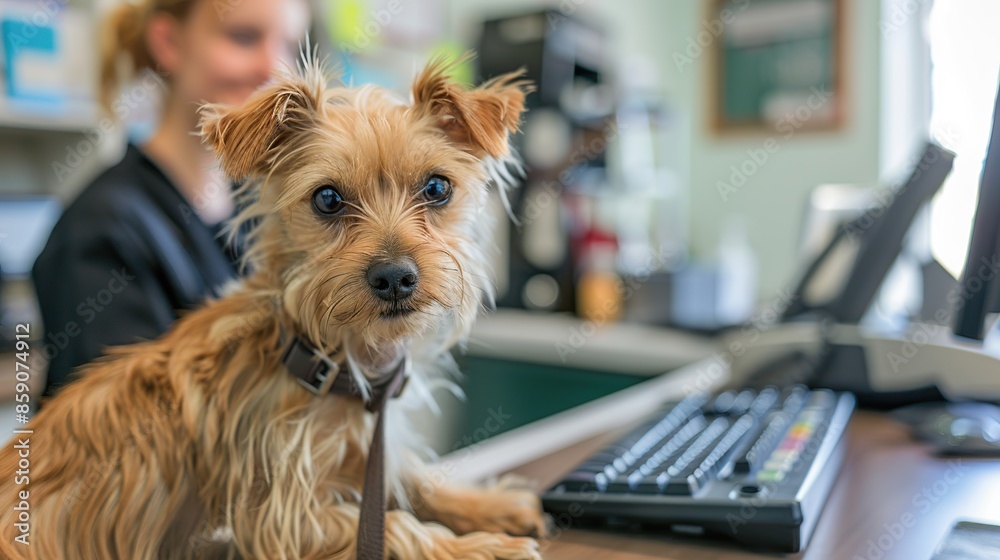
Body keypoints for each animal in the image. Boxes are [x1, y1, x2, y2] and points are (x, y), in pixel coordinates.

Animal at [0, 55, 548, 560]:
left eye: (436, 188)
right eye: (327, 199)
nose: (394, 277)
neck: (332, 362)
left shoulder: (375, 453)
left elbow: (413, 479)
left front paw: (491, 507)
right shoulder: (280, 518)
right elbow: (395, 526)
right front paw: (480, 547)